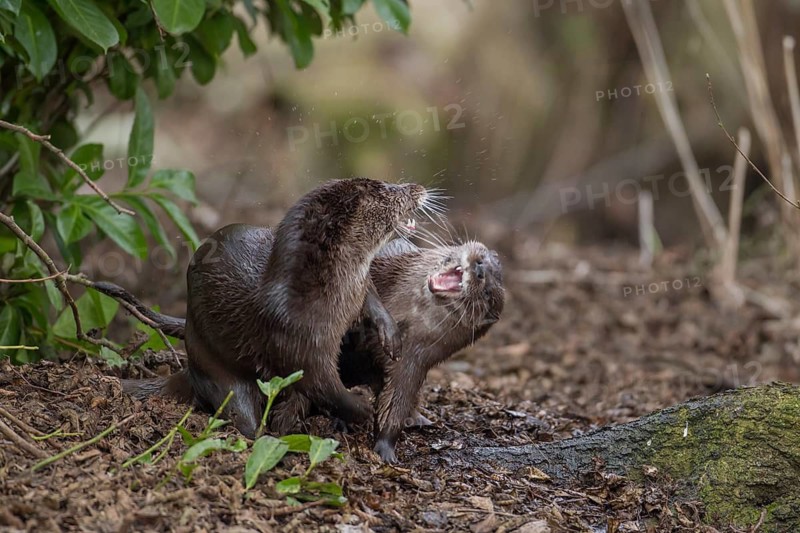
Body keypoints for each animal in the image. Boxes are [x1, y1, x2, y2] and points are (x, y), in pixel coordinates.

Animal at [122, 179, 429, 438]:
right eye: (386, 192)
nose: (417, 187)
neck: (316, 293)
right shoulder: (297, 340)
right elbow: (324, 386)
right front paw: (361, 407)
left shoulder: (359, 287)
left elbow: (371, 297)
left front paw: (391, 336)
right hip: (213, 363)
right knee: (242, 411)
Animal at [339, 238, 504, 462]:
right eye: (485, 257)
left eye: (487, 293)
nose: (479, 269)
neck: (403, 320)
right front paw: (340, 419)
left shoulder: (414, 362)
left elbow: (395, 405)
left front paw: (385, 450)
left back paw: (417, 419)